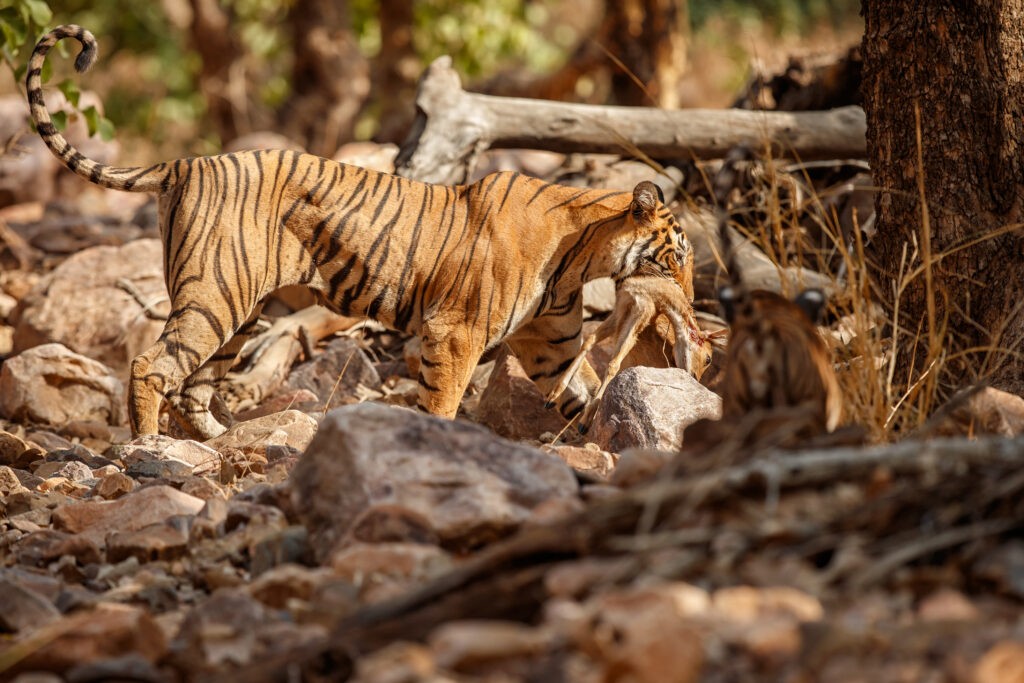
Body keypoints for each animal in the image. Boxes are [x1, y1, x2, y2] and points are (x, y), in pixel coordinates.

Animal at [29, 24, 696, 440]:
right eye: (677, 257)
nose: (690, 300)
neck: (581, 257)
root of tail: (186, 162)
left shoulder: (550, 345)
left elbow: (582, 388)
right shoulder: (454, 334)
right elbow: (444, 399)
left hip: (237, 312)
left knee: (195, 388)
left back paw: (220, 441)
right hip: (213, 297)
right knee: (151, 367)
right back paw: (149, 449)